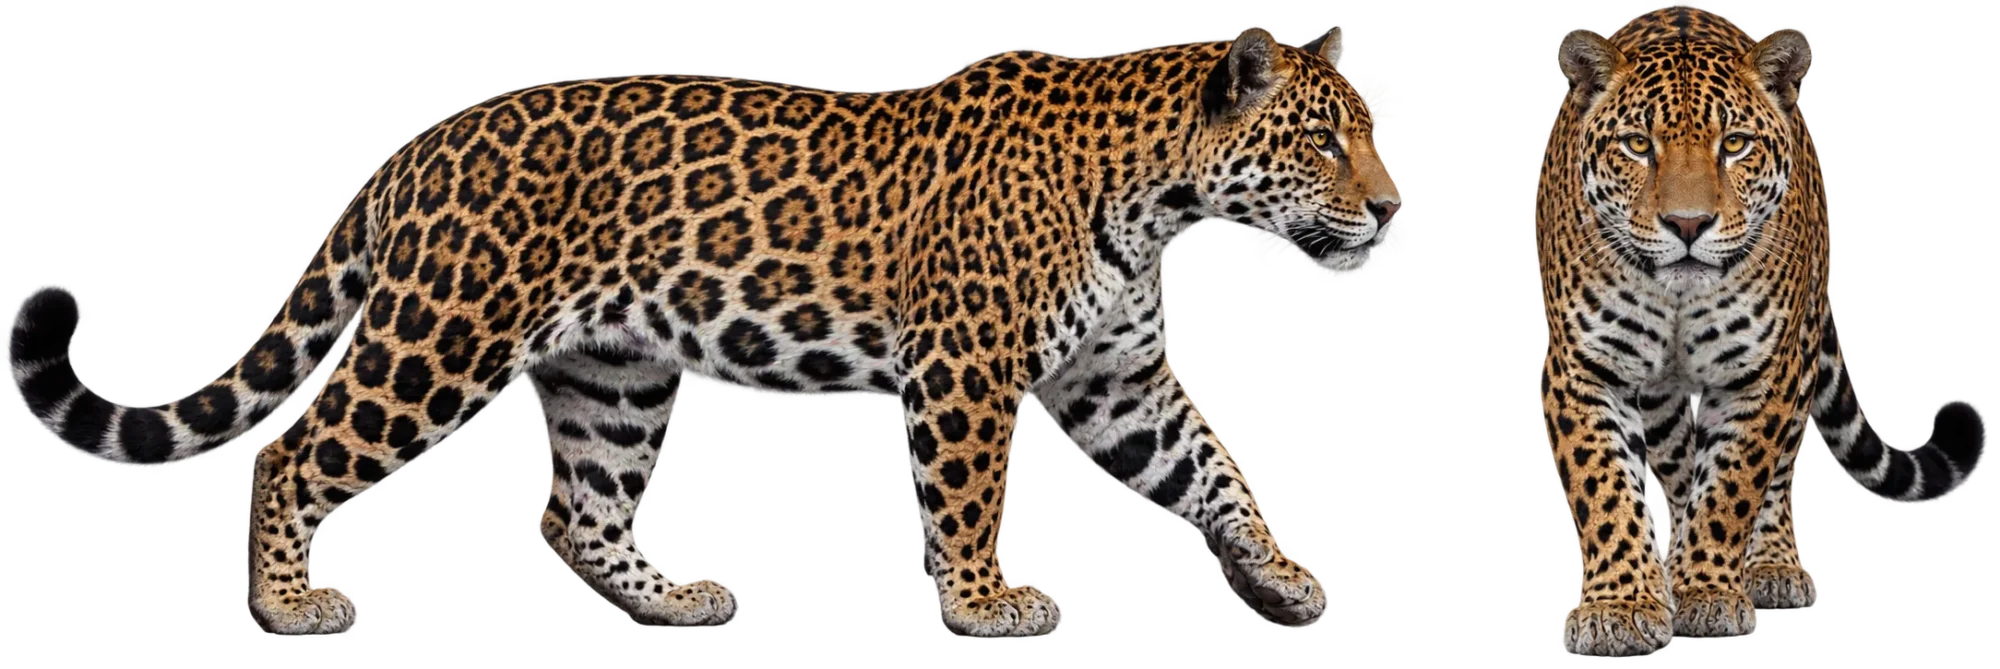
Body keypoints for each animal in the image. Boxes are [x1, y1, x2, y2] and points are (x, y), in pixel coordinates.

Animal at [4, 24, 1403, 639]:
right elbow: (966, 496)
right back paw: (289, 604)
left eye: (1375, 135)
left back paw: (674, 597)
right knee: (291, 449)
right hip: (437, 338)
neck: (1157, 192)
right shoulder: (965, 367)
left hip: (613, 373)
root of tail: (417, 147)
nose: (1395, 208)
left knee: (573, 508)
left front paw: (1282, 576)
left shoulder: (1118, 384)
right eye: (1323, 143)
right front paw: (981, 602)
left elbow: (1215, 468)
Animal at [1535, 1, 1989, 657]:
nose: (1688, 224)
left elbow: (1733, 486)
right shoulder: (1584, 368)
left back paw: (1770, 565)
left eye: (1735, 144)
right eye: (1639, 145)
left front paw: (1707, 593)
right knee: (1677, 467)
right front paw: (1621, 605)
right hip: (1665, 399)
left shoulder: (1763, 373)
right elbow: (1606, 489)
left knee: (1775, 473)